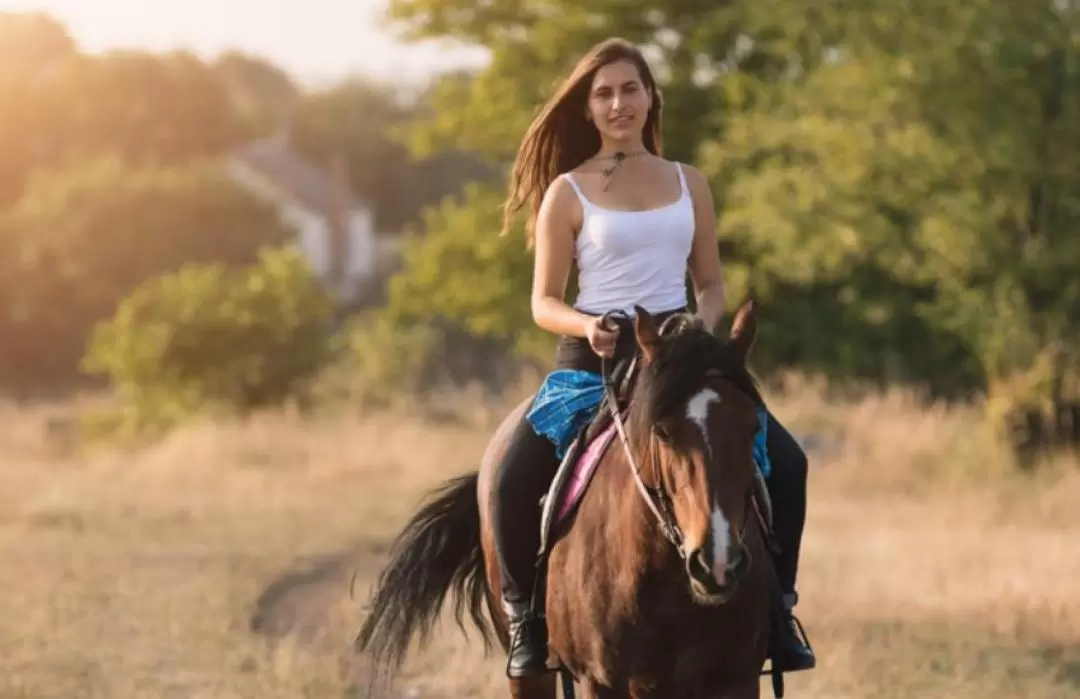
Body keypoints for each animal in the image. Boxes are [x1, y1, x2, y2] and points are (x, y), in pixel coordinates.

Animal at [358, 302, 781, 699]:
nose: (717, 562)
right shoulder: (602, 683)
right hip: (528, 670)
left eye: (752, 427)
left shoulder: (737, 681)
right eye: (662, 432)